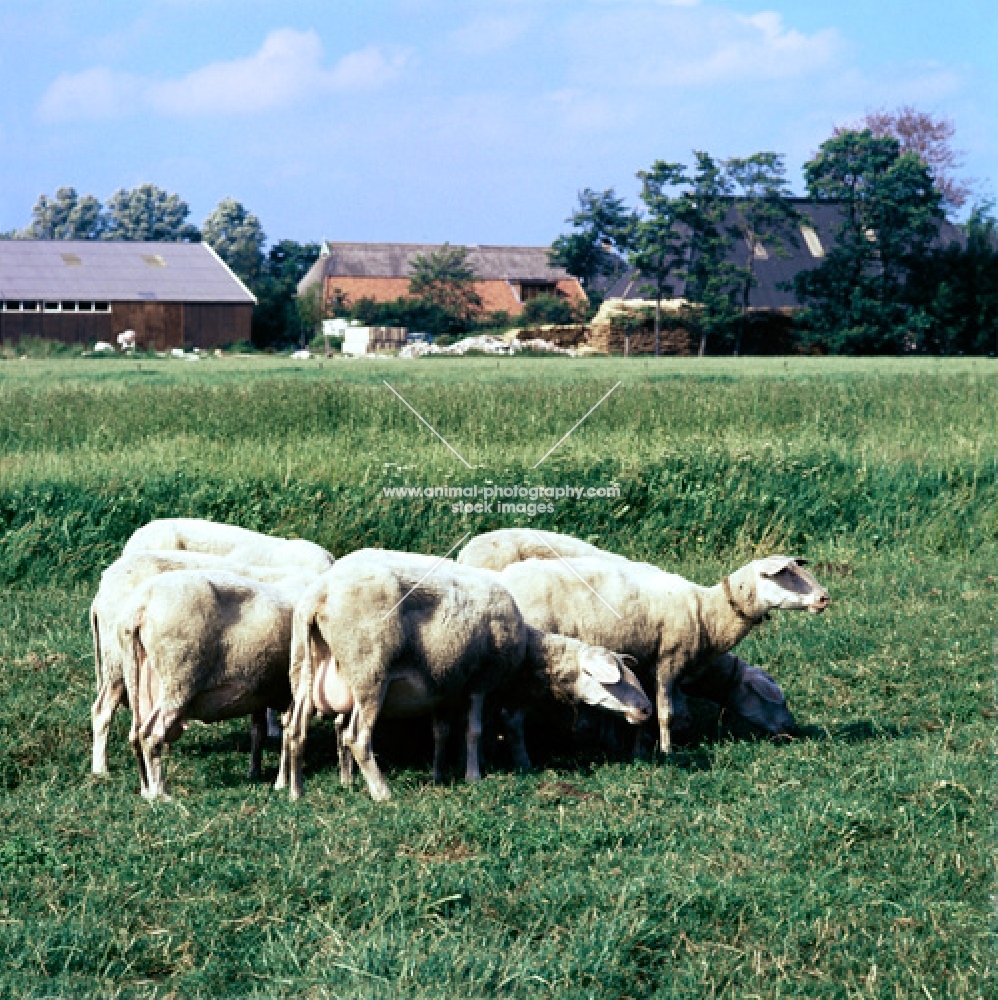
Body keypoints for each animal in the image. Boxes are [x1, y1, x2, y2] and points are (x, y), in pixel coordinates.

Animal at [119, 576, 294, 800]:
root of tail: (141, 605)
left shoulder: (260, 692)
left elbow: (259, 732)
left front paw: (255, 773)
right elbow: (290, 733)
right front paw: (283, 781)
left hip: (137, 678)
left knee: (134, 735)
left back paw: (146, 790)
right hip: (178, 679)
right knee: (150, 735)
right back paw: (161, 793)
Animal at [278, 552, 652, 800]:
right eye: (613, 679)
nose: (646, 710)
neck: (527, 652)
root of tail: (320, 595)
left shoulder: (443, 686)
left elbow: (442, 734)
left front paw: (439, 774)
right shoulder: (480, 685)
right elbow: (474, 731)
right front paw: (474, 775)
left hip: (304, 669)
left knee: (294, 728)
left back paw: (297, 792)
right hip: (369, 672)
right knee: (356, 737)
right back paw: (381, 791)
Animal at [500, 552, 828, 752]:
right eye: (785, 574)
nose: (825, 598)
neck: (708, 613)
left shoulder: (641, 666)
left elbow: (640, 708)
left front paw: (637, 747)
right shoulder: (668, 661)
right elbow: (666, 714)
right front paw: (667, 751)